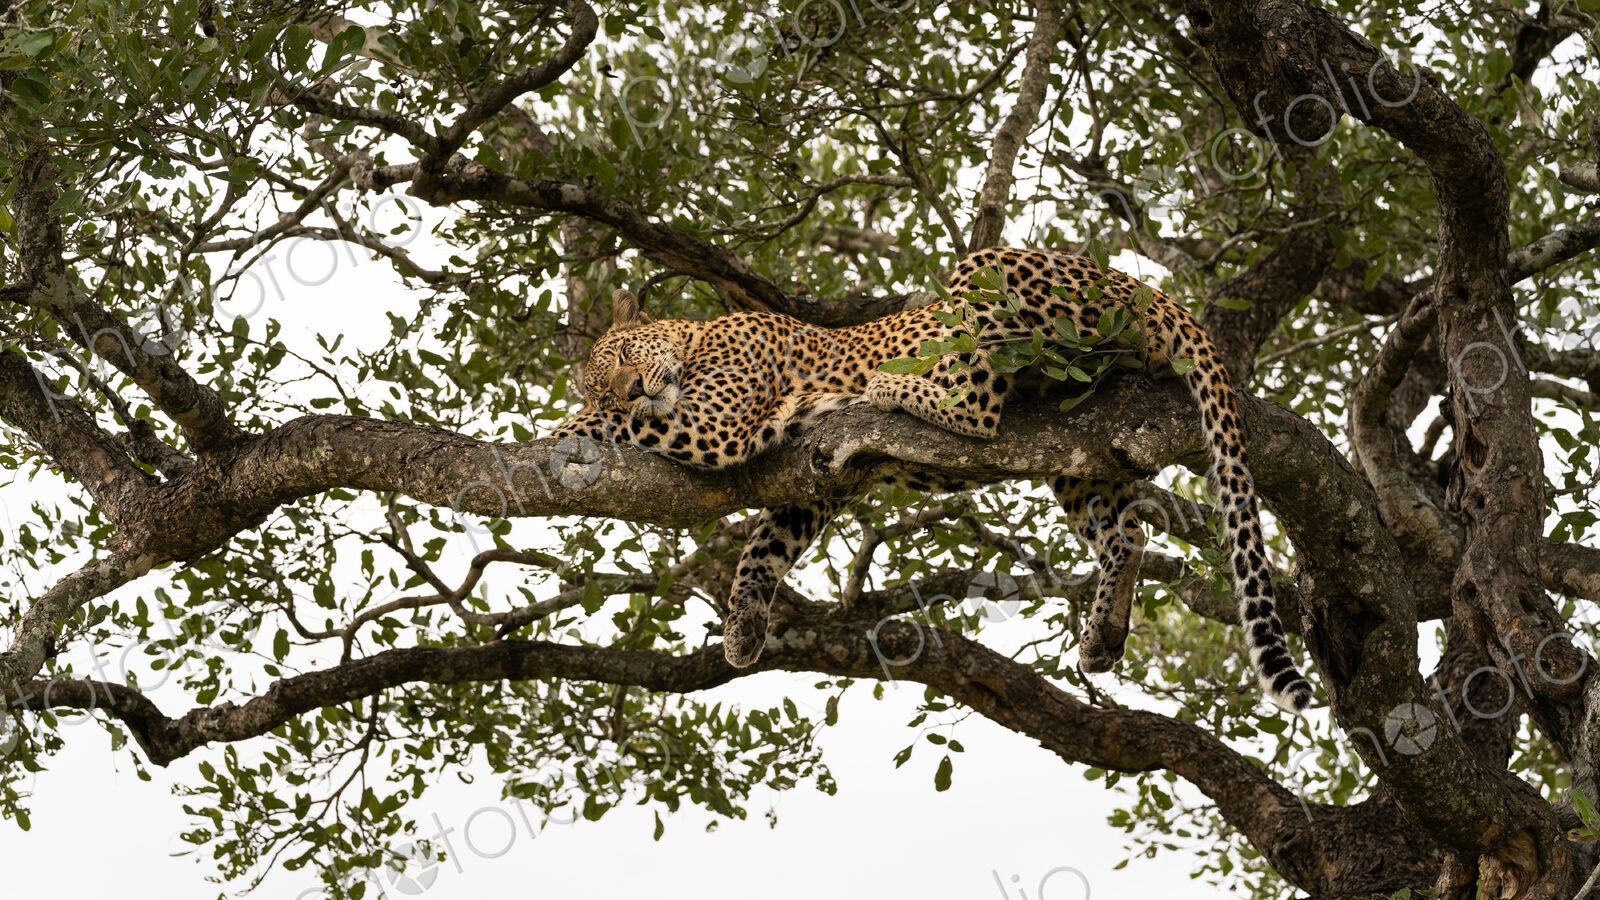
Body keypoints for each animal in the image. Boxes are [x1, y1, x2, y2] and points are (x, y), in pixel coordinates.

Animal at [549, 247, 1314, 713]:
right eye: (610, 375)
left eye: (622, 356)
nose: (631, 390)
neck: (700, 337)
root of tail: (1151, 290)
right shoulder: (813, 483)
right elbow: (761, 550)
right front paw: (742, 630)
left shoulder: (718, 420)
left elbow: (599, 427)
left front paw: (557, 432)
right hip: (1080, 447)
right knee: (1125, 532)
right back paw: (1103, 633)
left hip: (999, 280)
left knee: (978, 404)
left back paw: (891, 387)